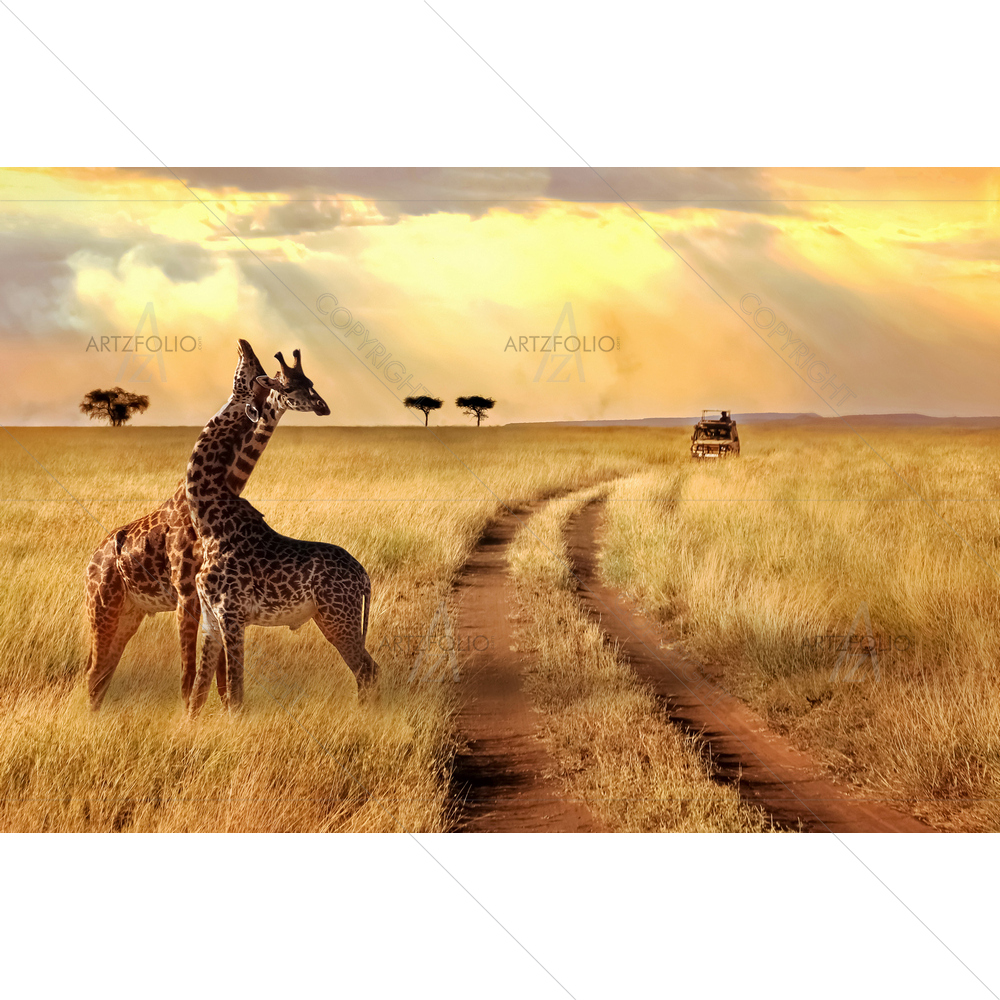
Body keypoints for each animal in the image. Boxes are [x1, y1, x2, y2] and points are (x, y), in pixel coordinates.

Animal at [83, 340, 330, 711]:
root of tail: (91, 561)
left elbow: (219, 678)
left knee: (102, 672)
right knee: (94, 672)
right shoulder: (188, 593)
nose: (322, 407)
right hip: (102, 607)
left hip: (130, 612)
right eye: (286, 384)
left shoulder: (209, 599)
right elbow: (193, 675)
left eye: (309, 382)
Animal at [185, 342, 379, 717]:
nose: (243, 345)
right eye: (286, 383)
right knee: (368, 668)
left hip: (338, 617)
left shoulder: (231, 615)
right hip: (330, 618)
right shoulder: (210, 620)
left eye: (252, 372)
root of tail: (364, 577)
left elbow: (235, 695)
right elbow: (197, 696)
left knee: (367, 669)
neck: (208, 520)